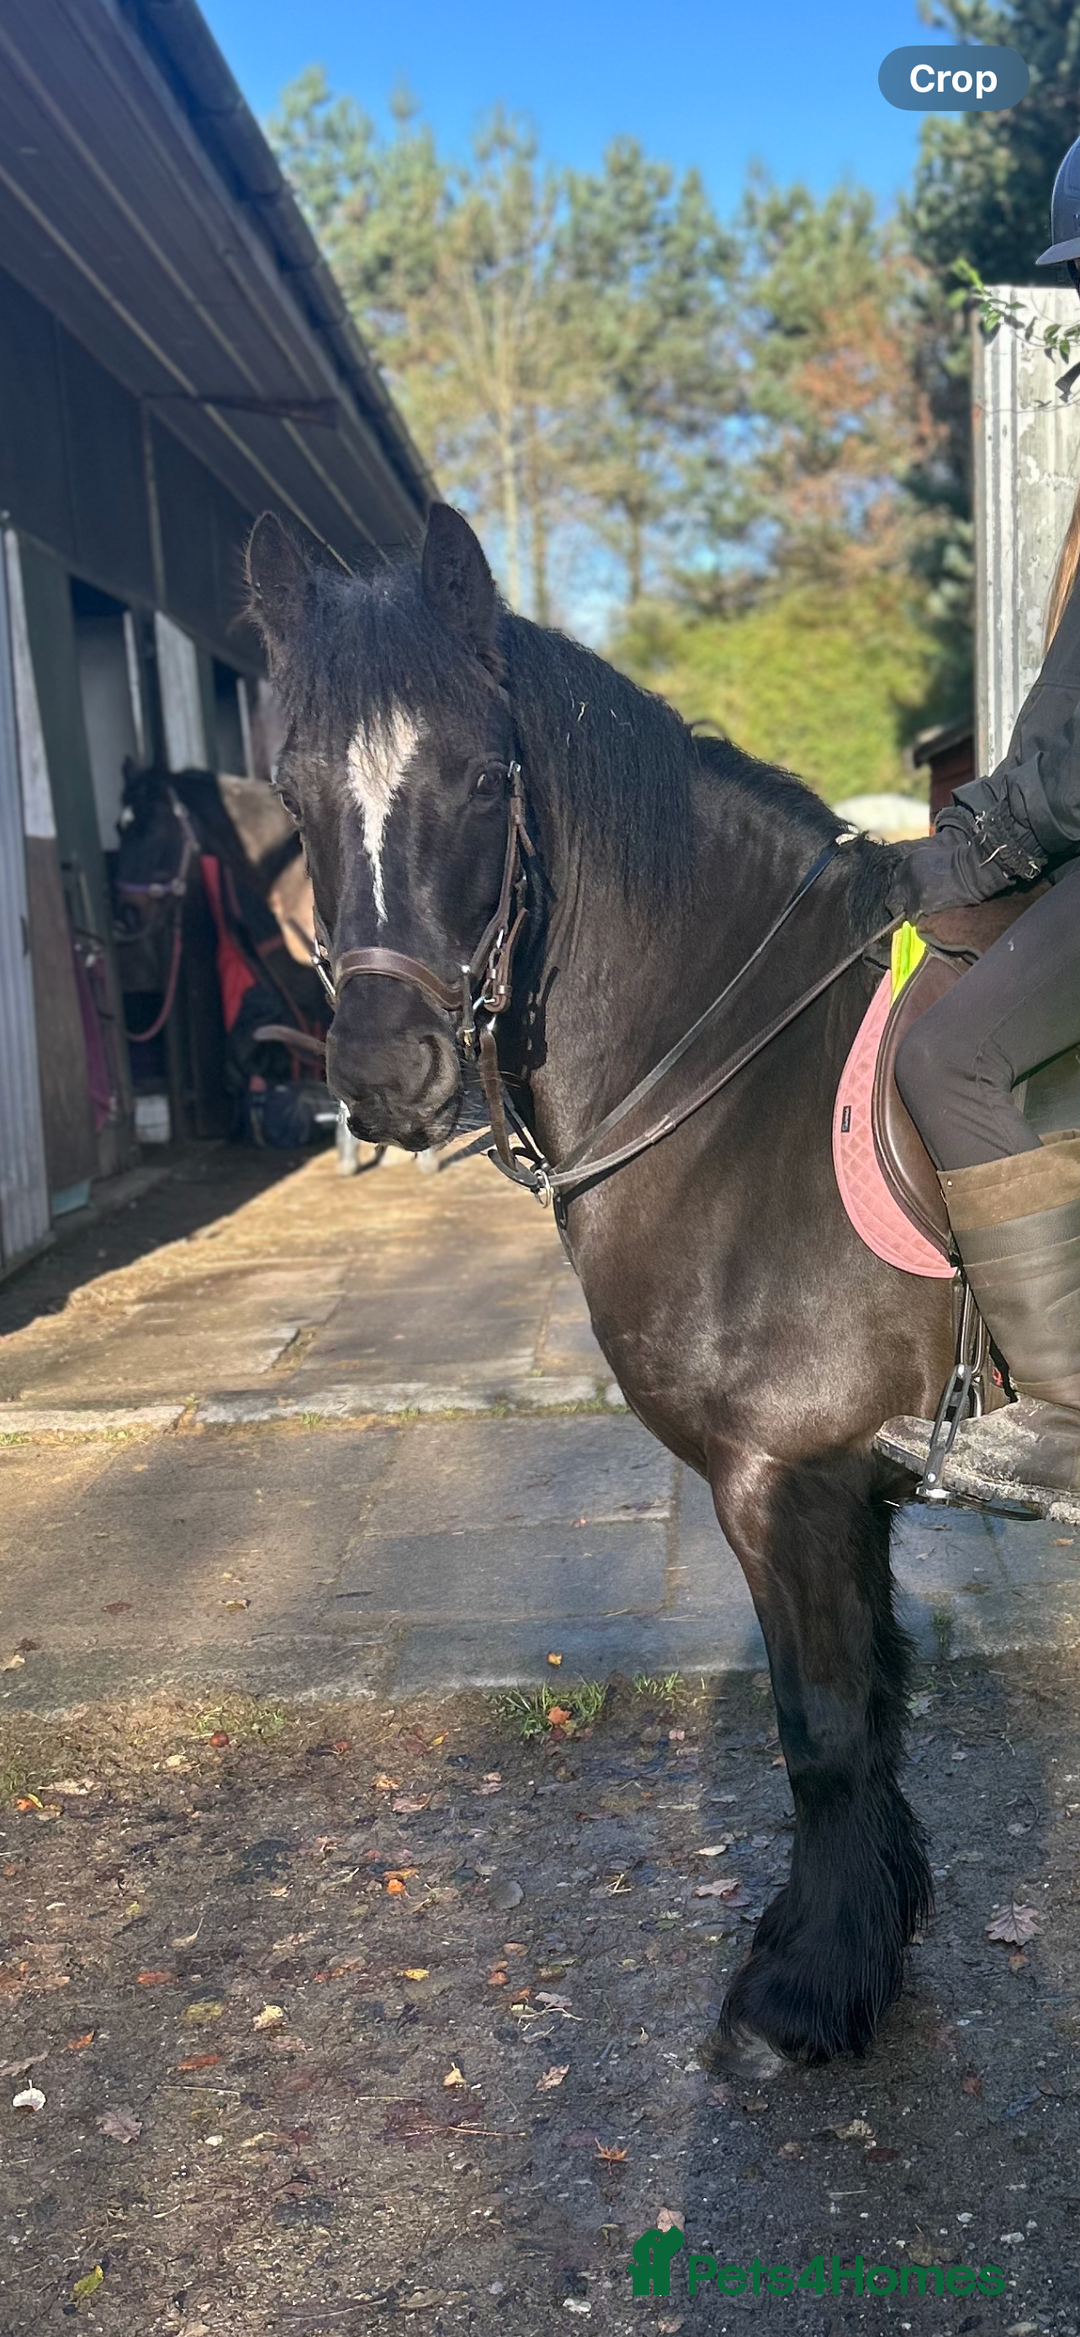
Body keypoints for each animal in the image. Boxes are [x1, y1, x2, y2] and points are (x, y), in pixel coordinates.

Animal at [246, 501, 954, 2071]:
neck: (748, 1080)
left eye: (475, 777)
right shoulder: (850, 1493)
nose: (382, 1074)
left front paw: (805, 1991)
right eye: (295, 790)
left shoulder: (786, 1480)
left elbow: (822, 1729)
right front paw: (862, 1935)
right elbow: (874, 1714)